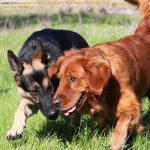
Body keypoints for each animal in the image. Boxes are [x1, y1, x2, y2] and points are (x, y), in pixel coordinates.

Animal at [48, 0, 150, 149]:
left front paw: (116, 141)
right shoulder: (102, 116)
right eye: (59, 80)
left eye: (73, 78)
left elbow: (122, 124)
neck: (107, 85)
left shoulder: (131, 106)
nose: (55, 103)